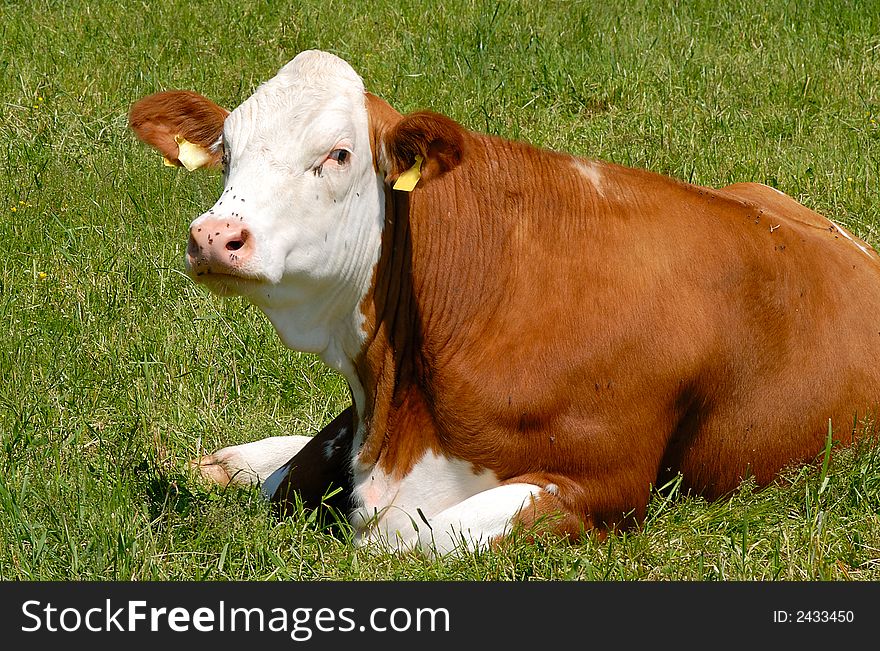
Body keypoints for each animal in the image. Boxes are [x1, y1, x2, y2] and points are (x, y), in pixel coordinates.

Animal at [127, 49, 880, 556]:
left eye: (338, 154)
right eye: (227, 152)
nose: (214, 236)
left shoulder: (602, 488)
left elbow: (406, 537)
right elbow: (286, 481)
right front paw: (234, 468)